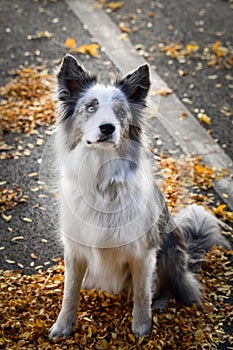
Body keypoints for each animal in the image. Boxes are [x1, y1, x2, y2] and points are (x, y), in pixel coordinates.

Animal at [48, 54, 230, 340]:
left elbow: (143, 294)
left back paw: (162, 302)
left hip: (169, 251)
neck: (103, 181)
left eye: (121, 112)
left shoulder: (143, 253)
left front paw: (142, 328)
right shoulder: (75, 249)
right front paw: (63, 326)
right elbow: (70, 292)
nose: (107, 128)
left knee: (169, 288)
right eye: (90, 107)